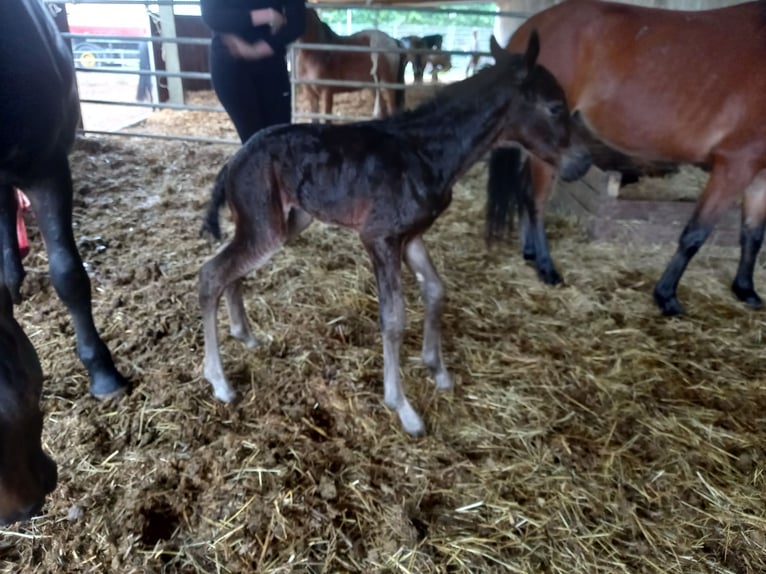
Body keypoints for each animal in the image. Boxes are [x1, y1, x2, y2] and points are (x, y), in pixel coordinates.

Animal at [198, 31, 592, 436]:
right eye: (554, 107)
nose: (583, 161)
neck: (425, 150)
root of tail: (233, 161)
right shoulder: (379, 237)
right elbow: (393, 318)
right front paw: (403, 407)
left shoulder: (412, 236)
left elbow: (435, 289)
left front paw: (437, 370)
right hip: (267, 227)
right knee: (212, 274)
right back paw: (220, 382)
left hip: (284, 223)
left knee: (232, 271)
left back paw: (244, 335)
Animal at [488, 0, 766, 320]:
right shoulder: (734, 166)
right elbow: (695, 234)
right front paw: (666, 296)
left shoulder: (759, 174)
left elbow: (753, 235)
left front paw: (745, 289)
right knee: (536, 202)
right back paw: (546, 267)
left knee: (524, 193)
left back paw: (530, 253)